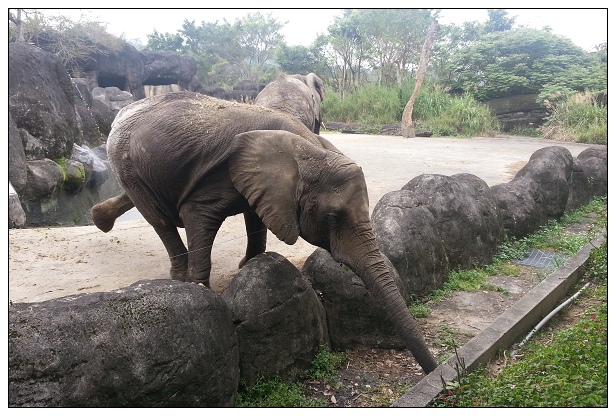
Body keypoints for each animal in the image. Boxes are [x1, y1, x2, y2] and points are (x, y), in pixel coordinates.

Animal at [90, 92, 438, 374]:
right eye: (331, 219)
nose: (435, 375)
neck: (307, 146)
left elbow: (254, 216)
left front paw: (250, 266)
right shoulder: (217, 181)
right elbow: (198, 217)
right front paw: (200, 291)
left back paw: (99, 218)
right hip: (127, 163)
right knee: (160, 219)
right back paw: (177, 276)